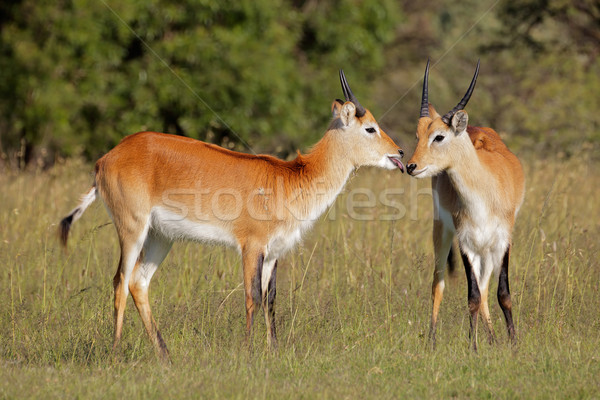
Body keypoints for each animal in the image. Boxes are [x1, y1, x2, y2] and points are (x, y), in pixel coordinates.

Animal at [58, 70, 406, 360]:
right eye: (370, 127)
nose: (400, 153)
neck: (292, 178)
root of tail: (106, 158)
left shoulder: (274, 252)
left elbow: (271, 299)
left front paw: (273, 352)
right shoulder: (251, 246)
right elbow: (252, 296)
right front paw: (249, 353)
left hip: (160, 237)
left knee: (138, 283)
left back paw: (165, 355)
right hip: (132, 229)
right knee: (119, 281)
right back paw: (115, 353)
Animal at [408, 60, 524, 350]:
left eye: (438, 136)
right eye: (417, 135)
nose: (411, 166)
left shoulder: (503, 239)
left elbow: (502, 293)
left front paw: (513, 343)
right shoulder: (465, 241)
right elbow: (471, 296)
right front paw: (473, 347)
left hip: (487, 248)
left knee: (484, 288)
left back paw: (493, 339)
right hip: (443, 231)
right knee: (438, 284)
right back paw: (432, 342)